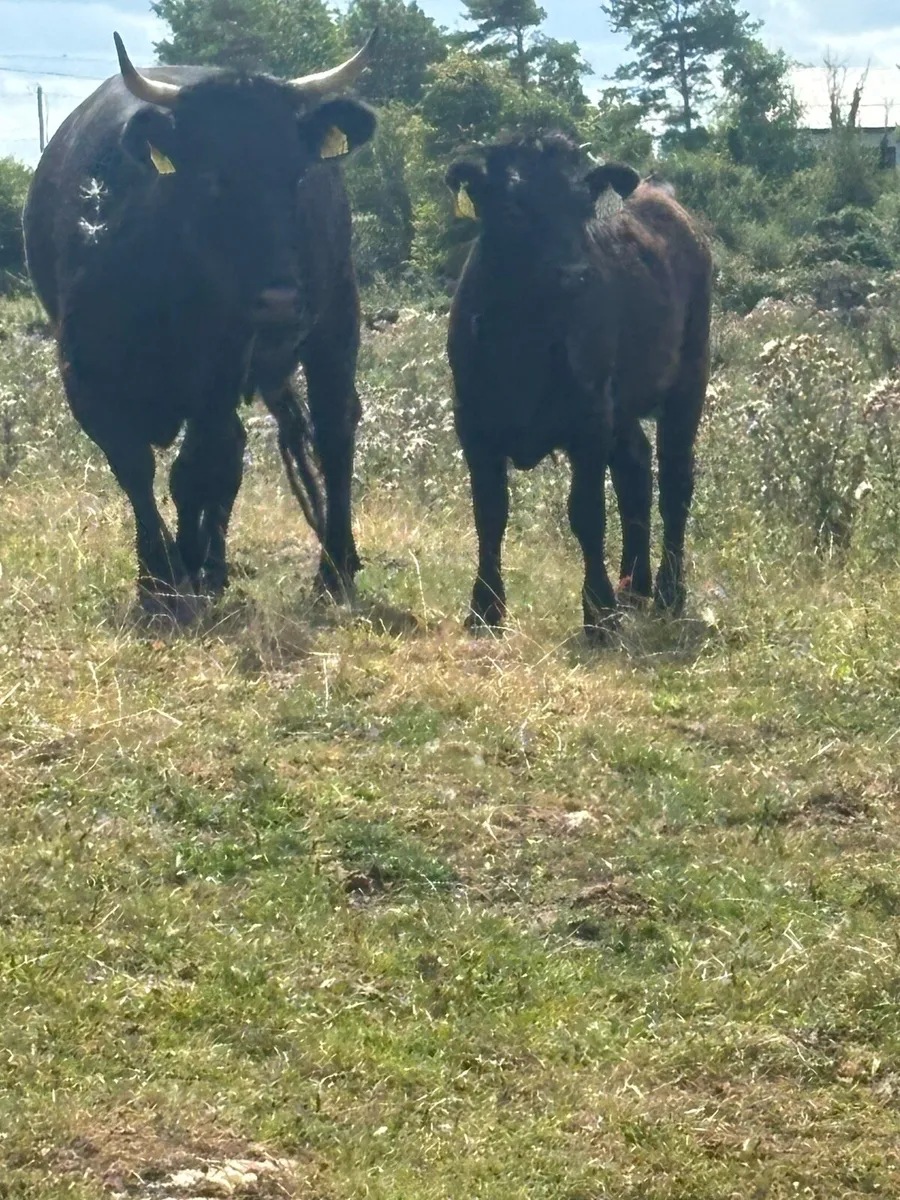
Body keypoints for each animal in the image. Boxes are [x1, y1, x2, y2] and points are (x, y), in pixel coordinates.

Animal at [23, 32, 378, 620]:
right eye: (213, 178)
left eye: (296, 176)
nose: (281, 301)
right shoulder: (84, 376)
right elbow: (135, 468)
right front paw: (160, 573)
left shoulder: (216, 375)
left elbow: (191, 469)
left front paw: (180, 567)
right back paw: (215, 565)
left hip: (336, 317)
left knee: (333, 429)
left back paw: (333, 567)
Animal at [445, 134, 712, 640]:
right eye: (512, 207)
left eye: (581, 207)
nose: (574, 273)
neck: (524, 338)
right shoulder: (473, 421)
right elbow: (489, 512)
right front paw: (484, 609)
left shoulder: (589, 421)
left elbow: (586, 513)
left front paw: (599, 614)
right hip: (621, 403)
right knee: (635, 468)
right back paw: (634, 585)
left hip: (689, 376)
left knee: (675, 480)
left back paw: (668, 591)